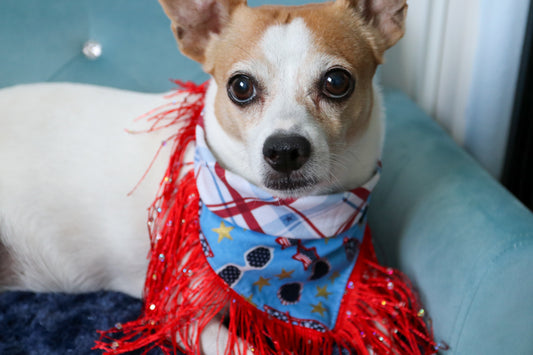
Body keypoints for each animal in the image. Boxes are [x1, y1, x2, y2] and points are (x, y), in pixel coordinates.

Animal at [1, 0, 408, 354]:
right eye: (241, 87)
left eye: (337, 82)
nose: (284, 149)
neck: (288, 219)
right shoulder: (183, 313)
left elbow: (385, 334)